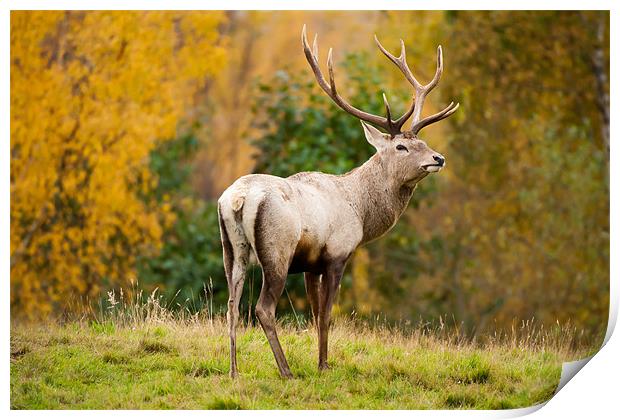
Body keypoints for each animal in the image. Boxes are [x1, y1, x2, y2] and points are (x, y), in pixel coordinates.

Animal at [217, 26, 456, 380]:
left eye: (423, 142)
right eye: (400, 147)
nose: (438, 158)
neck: (361, 210)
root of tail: (237, 198)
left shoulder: (310, 264)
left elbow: (316, 314)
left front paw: (320, 361)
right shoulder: (337, 254)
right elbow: (328, 314)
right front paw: (325, 366)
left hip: (231, 249)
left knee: (232, 306)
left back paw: (234, 372)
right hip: (277, 249)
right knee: (263, 308)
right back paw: (286, 371)